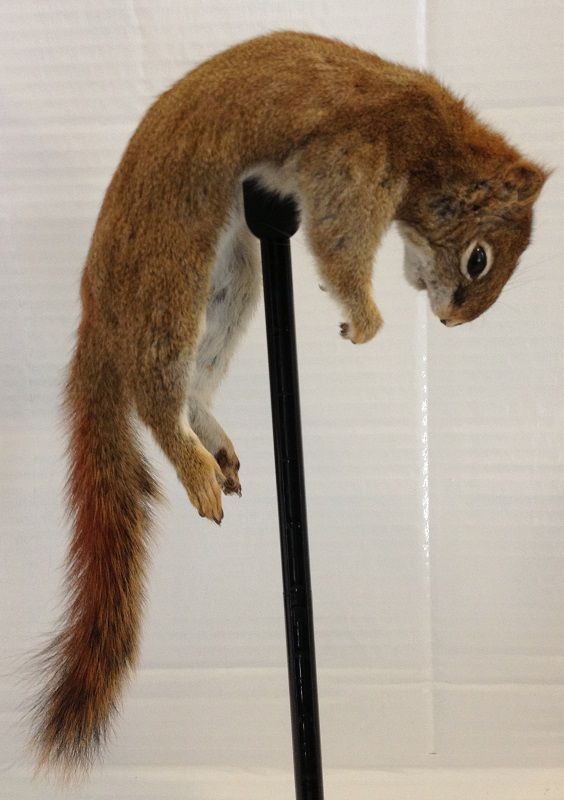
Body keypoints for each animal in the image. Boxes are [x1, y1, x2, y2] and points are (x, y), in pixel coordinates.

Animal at [28, 31, 548, 776]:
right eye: (480, 259)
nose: (452, 323)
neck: (436, 140)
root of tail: (96, 305)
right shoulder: (353, 161)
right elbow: (338, 243)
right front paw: (365, 320)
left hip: (233, 278)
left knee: (192, 387)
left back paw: (213, 442)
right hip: (170, 268)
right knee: (152, 392)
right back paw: (195, 471)